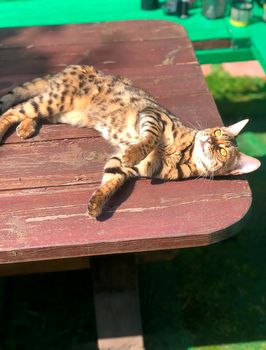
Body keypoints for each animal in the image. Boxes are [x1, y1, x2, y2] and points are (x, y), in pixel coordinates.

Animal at [0, 64, 260, 217]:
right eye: (216, 133)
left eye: (222, 152)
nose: (208, 140)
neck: (184, 153)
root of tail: (75, 66)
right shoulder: (153, 116)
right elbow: (148, 139)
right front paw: (135, 151)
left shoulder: (126, 167)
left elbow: (111, 180)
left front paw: (97, 203)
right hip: (54, 101)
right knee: (13, 110)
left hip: (61, 112)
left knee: (29, 112)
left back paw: (26, 127)